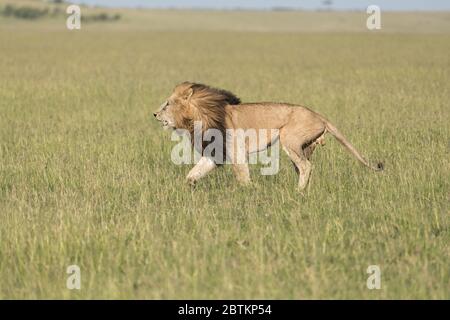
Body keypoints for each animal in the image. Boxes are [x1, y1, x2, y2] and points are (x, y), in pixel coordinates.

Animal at [155, 82, 384, 190]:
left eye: (167, 104)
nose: (154, 114)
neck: (199, 117)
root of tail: (319, 115)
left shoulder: (236, 152)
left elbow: (242, 176)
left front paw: (251, 191)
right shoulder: (215, 154)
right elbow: (193, 173)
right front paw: (190, 186)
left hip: (288, 138)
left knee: (306, 167)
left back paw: (298, 192)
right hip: (304, 147)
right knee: (306, 168)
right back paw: (305, 191)